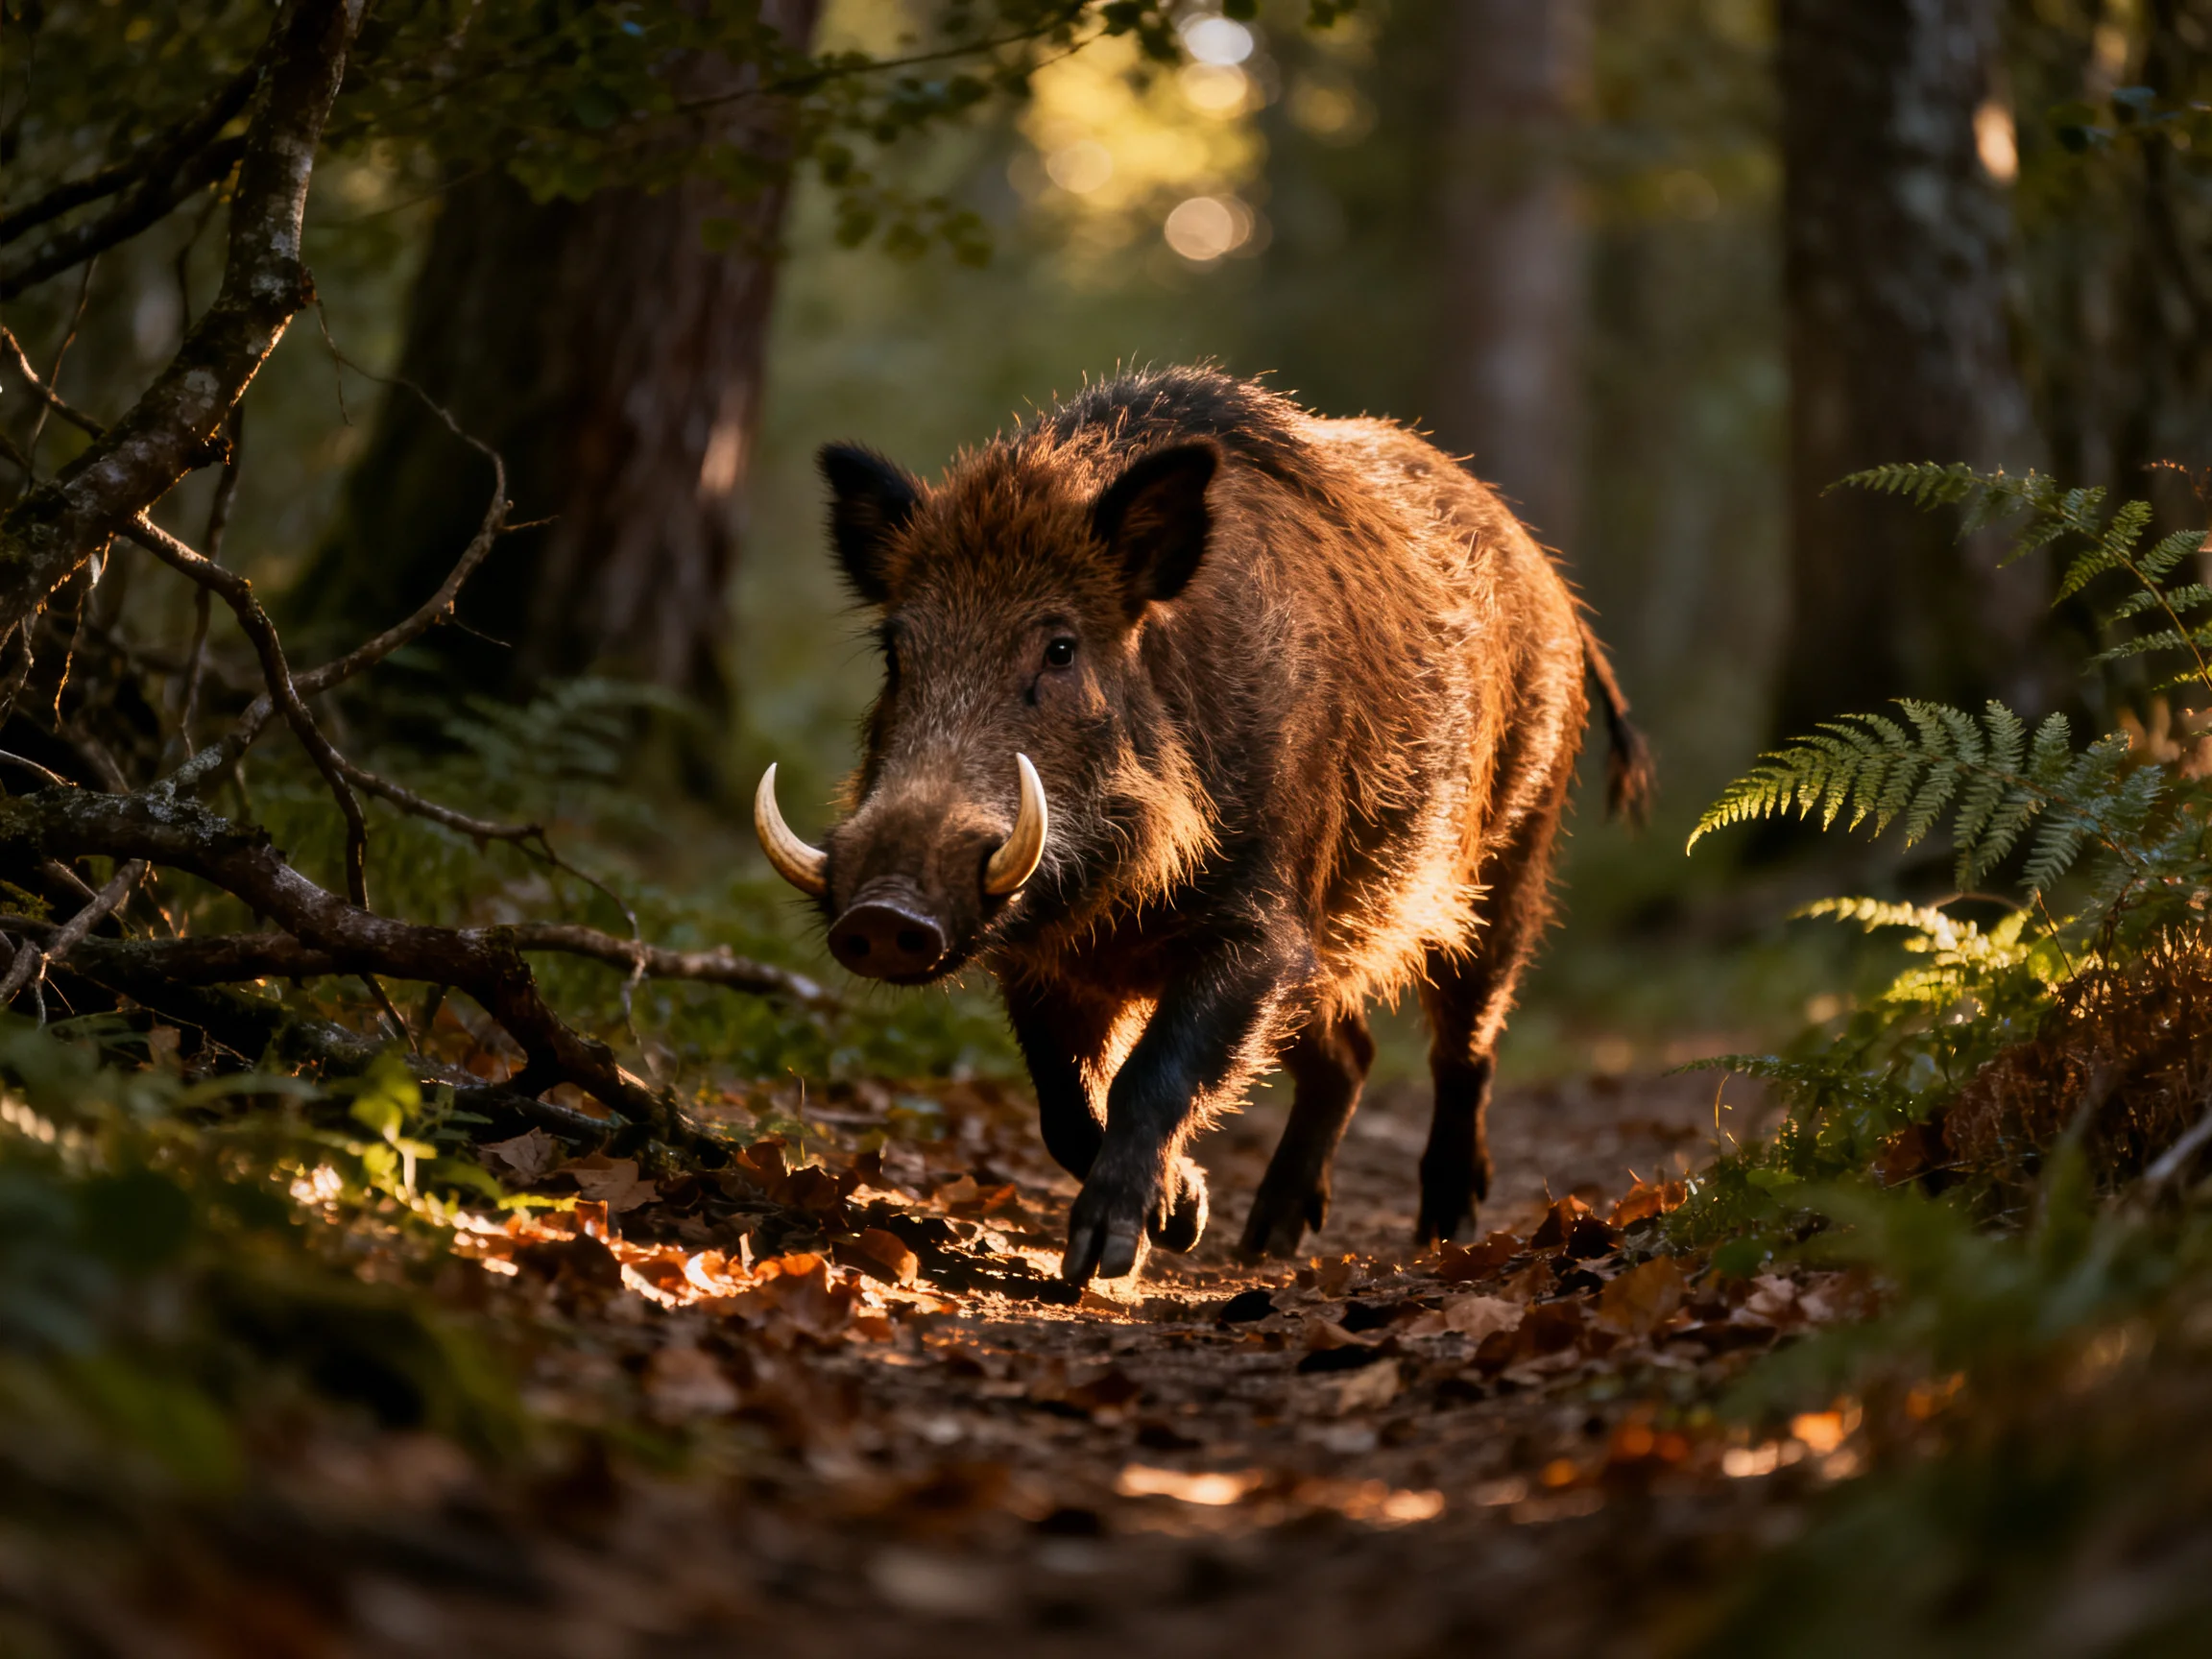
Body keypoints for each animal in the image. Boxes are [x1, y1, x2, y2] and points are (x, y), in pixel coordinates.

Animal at [755, 367, 1651, 1284]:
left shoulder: (1260, 927)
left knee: (1466, 1039)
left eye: (1061, 648)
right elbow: (1065, 1106)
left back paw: (1442, 1229)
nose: (882, 913)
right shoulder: (1044, 965)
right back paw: (1267, 1240)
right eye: (896, 654)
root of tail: (1555, 585)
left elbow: (1149, 1075)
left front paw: (1108, 1256)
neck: (1120, 906)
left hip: (1509, 854)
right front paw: (1183, 1215)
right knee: (1351, 1053)